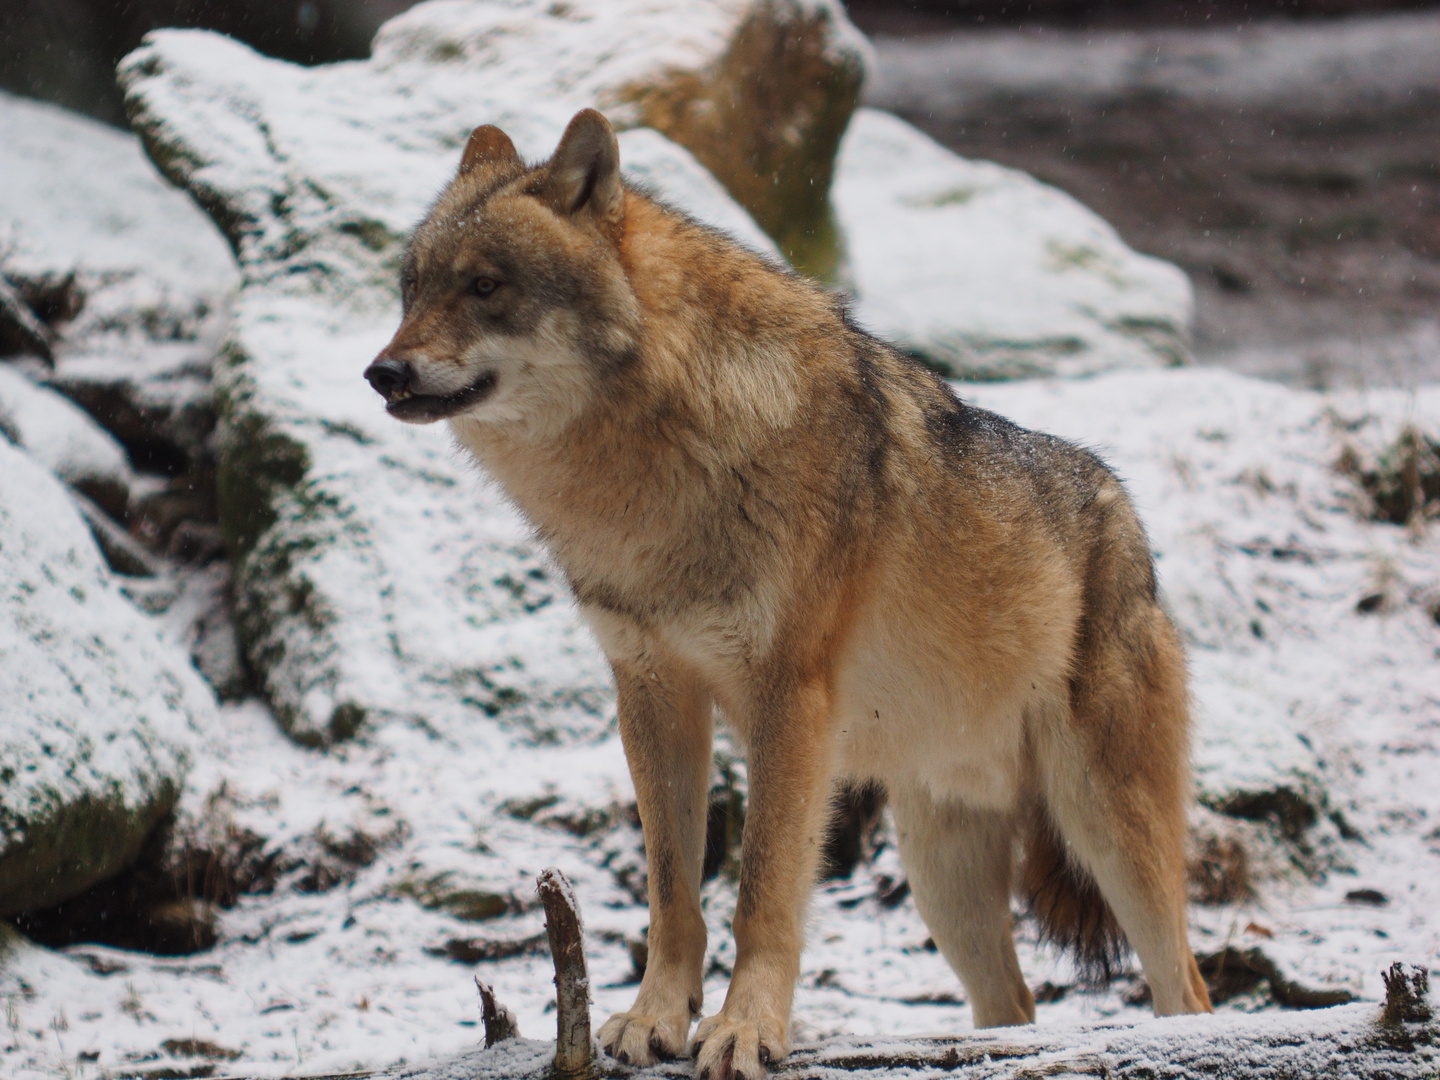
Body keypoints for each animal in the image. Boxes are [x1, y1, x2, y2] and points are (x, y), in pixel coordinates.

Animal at [365, 105, 1209, 1077]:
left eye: (486, 285)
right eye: (411, 290)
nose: (383, 372)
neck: (649, 468)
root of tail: (1126, 516)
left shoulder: (789, 701)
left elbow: (762, 890)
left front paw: (744, 1031)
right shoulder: (651, 691)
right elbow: (673, 891)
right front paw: (654, 1018)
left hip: (1110, 831)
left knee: (1188, 988)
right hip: (943, 877)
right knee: (1016, 1007)